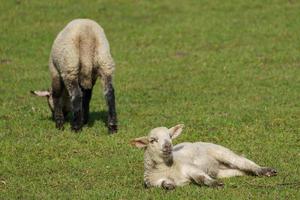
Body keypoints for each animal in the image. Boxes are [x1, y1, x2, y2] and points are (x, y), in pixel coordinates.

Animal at [131, 124, 276, 190]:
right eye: (152, 140)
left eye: (170, 136)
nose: (168, 146)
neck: (167, 168)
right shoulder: (151, 182)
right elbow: (162, 184)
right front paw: (168, 185)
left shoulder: (189, 167)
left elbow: (200, 177)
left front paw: (215, 184)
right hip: (222, 171)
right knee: (239, 170)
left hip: (222, 152)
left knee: (244, 162)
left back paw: (265, 171)